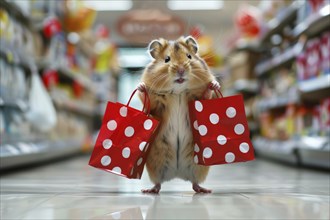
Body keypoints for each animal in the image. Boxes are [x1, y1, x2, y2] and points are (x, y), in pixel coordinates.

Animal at [139, 35, 219, 193]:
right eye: (167, 59)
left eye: (189, 56)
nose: (181, 70)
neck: (178, 91)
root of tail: (177, 174)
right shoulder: (155, 103)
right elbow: (146, 98)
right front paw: (141, 86)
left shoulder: (198, 97)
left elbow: (207, 93)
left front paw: (214, 84)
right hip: (156, 166)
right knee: (158, 183)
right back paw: (148, 191)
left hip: (198, 167)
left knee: (195, 184)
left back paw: (206, 190)